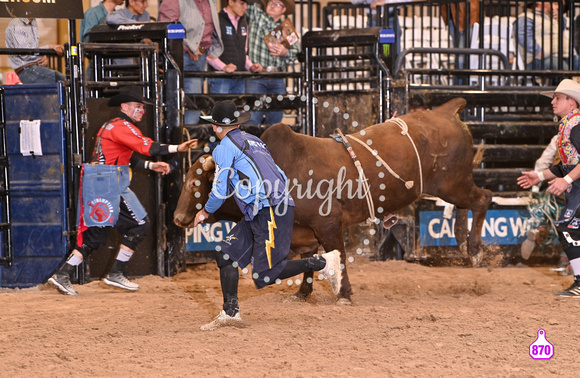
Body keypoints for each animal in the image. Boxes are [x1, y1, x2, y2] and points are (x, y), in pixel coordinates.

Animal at [174, 98, 492, 304]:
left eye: (195, 183)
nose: (178, 218)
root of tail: (445, 111)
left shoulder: (329, 224)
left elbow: (337, 257)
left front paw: (345, 294)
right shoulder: (304, 233)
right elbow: (309, 261)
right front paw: (302, 293)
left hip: (452, 183)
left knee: (482, 199)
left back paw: (475, 249)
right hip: (453, 186)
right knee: (467, 206)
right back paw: (463, 242)